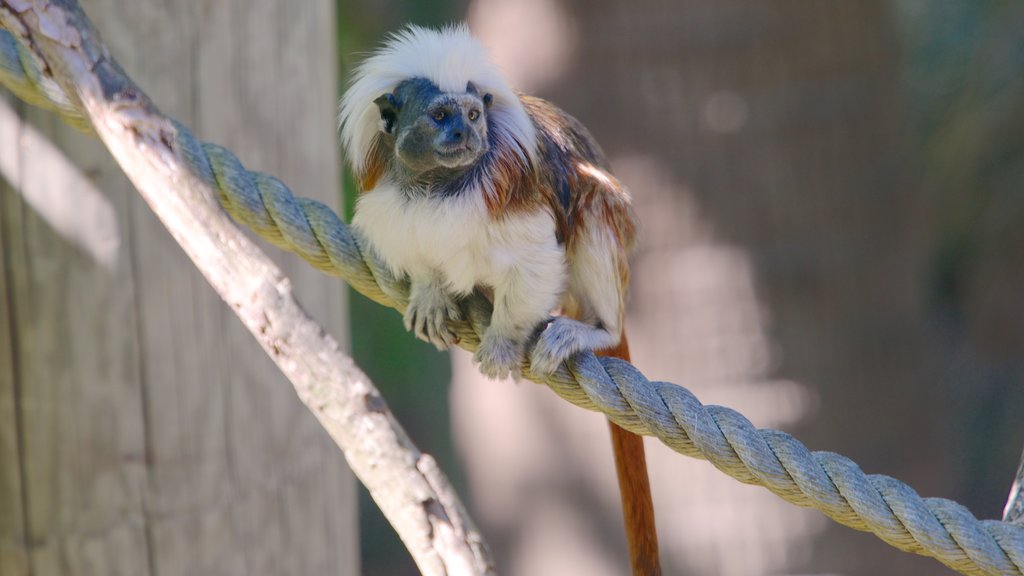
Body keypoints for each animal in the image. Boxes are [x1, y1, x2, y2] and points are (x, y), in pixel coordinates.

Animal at [339, 23, 659, 573]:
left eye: (473, 114)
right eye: (440, 116)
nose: (465, 135)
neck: (438, 186)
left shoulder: (514, 195)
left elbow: (534, 264)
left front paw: (504, 343)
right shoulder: (393, 205)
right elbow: (422, 254)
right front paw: (430, 294)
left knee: (593, 202)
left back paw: (593, 330)